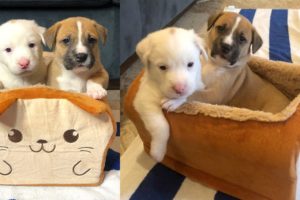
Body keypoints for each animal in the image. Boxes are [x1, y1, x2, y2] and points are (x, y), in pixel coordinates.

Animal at [134, 27, 206, 162]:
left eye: (190, 64)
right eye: (162, 67)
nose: (179, 88)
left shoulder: (198, 86)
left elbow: (189, 94)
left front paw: (173, 102)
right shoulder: (144, 99)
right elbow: (160, 125)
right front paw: (158, 152)